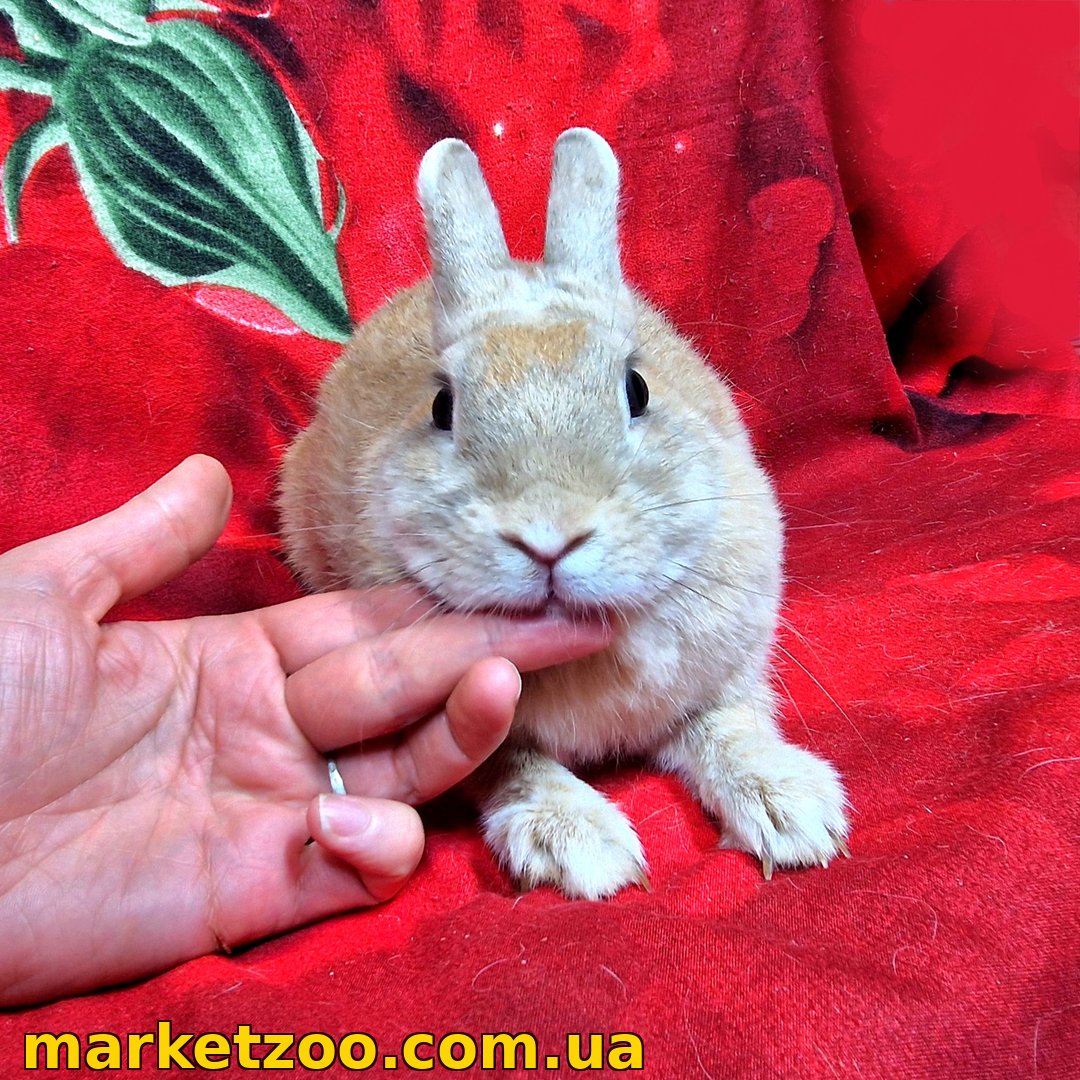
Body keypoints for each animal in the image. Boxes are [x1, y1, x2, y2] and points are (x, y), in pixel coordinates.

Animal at [278, 128, 850, 900]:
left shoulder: (723, 675)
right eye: (442, 407)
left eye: (637, 389)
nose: (549, 537)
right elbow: (511, 765)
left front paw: (794, 811)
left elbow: (728, 728)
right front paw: (582, 845)